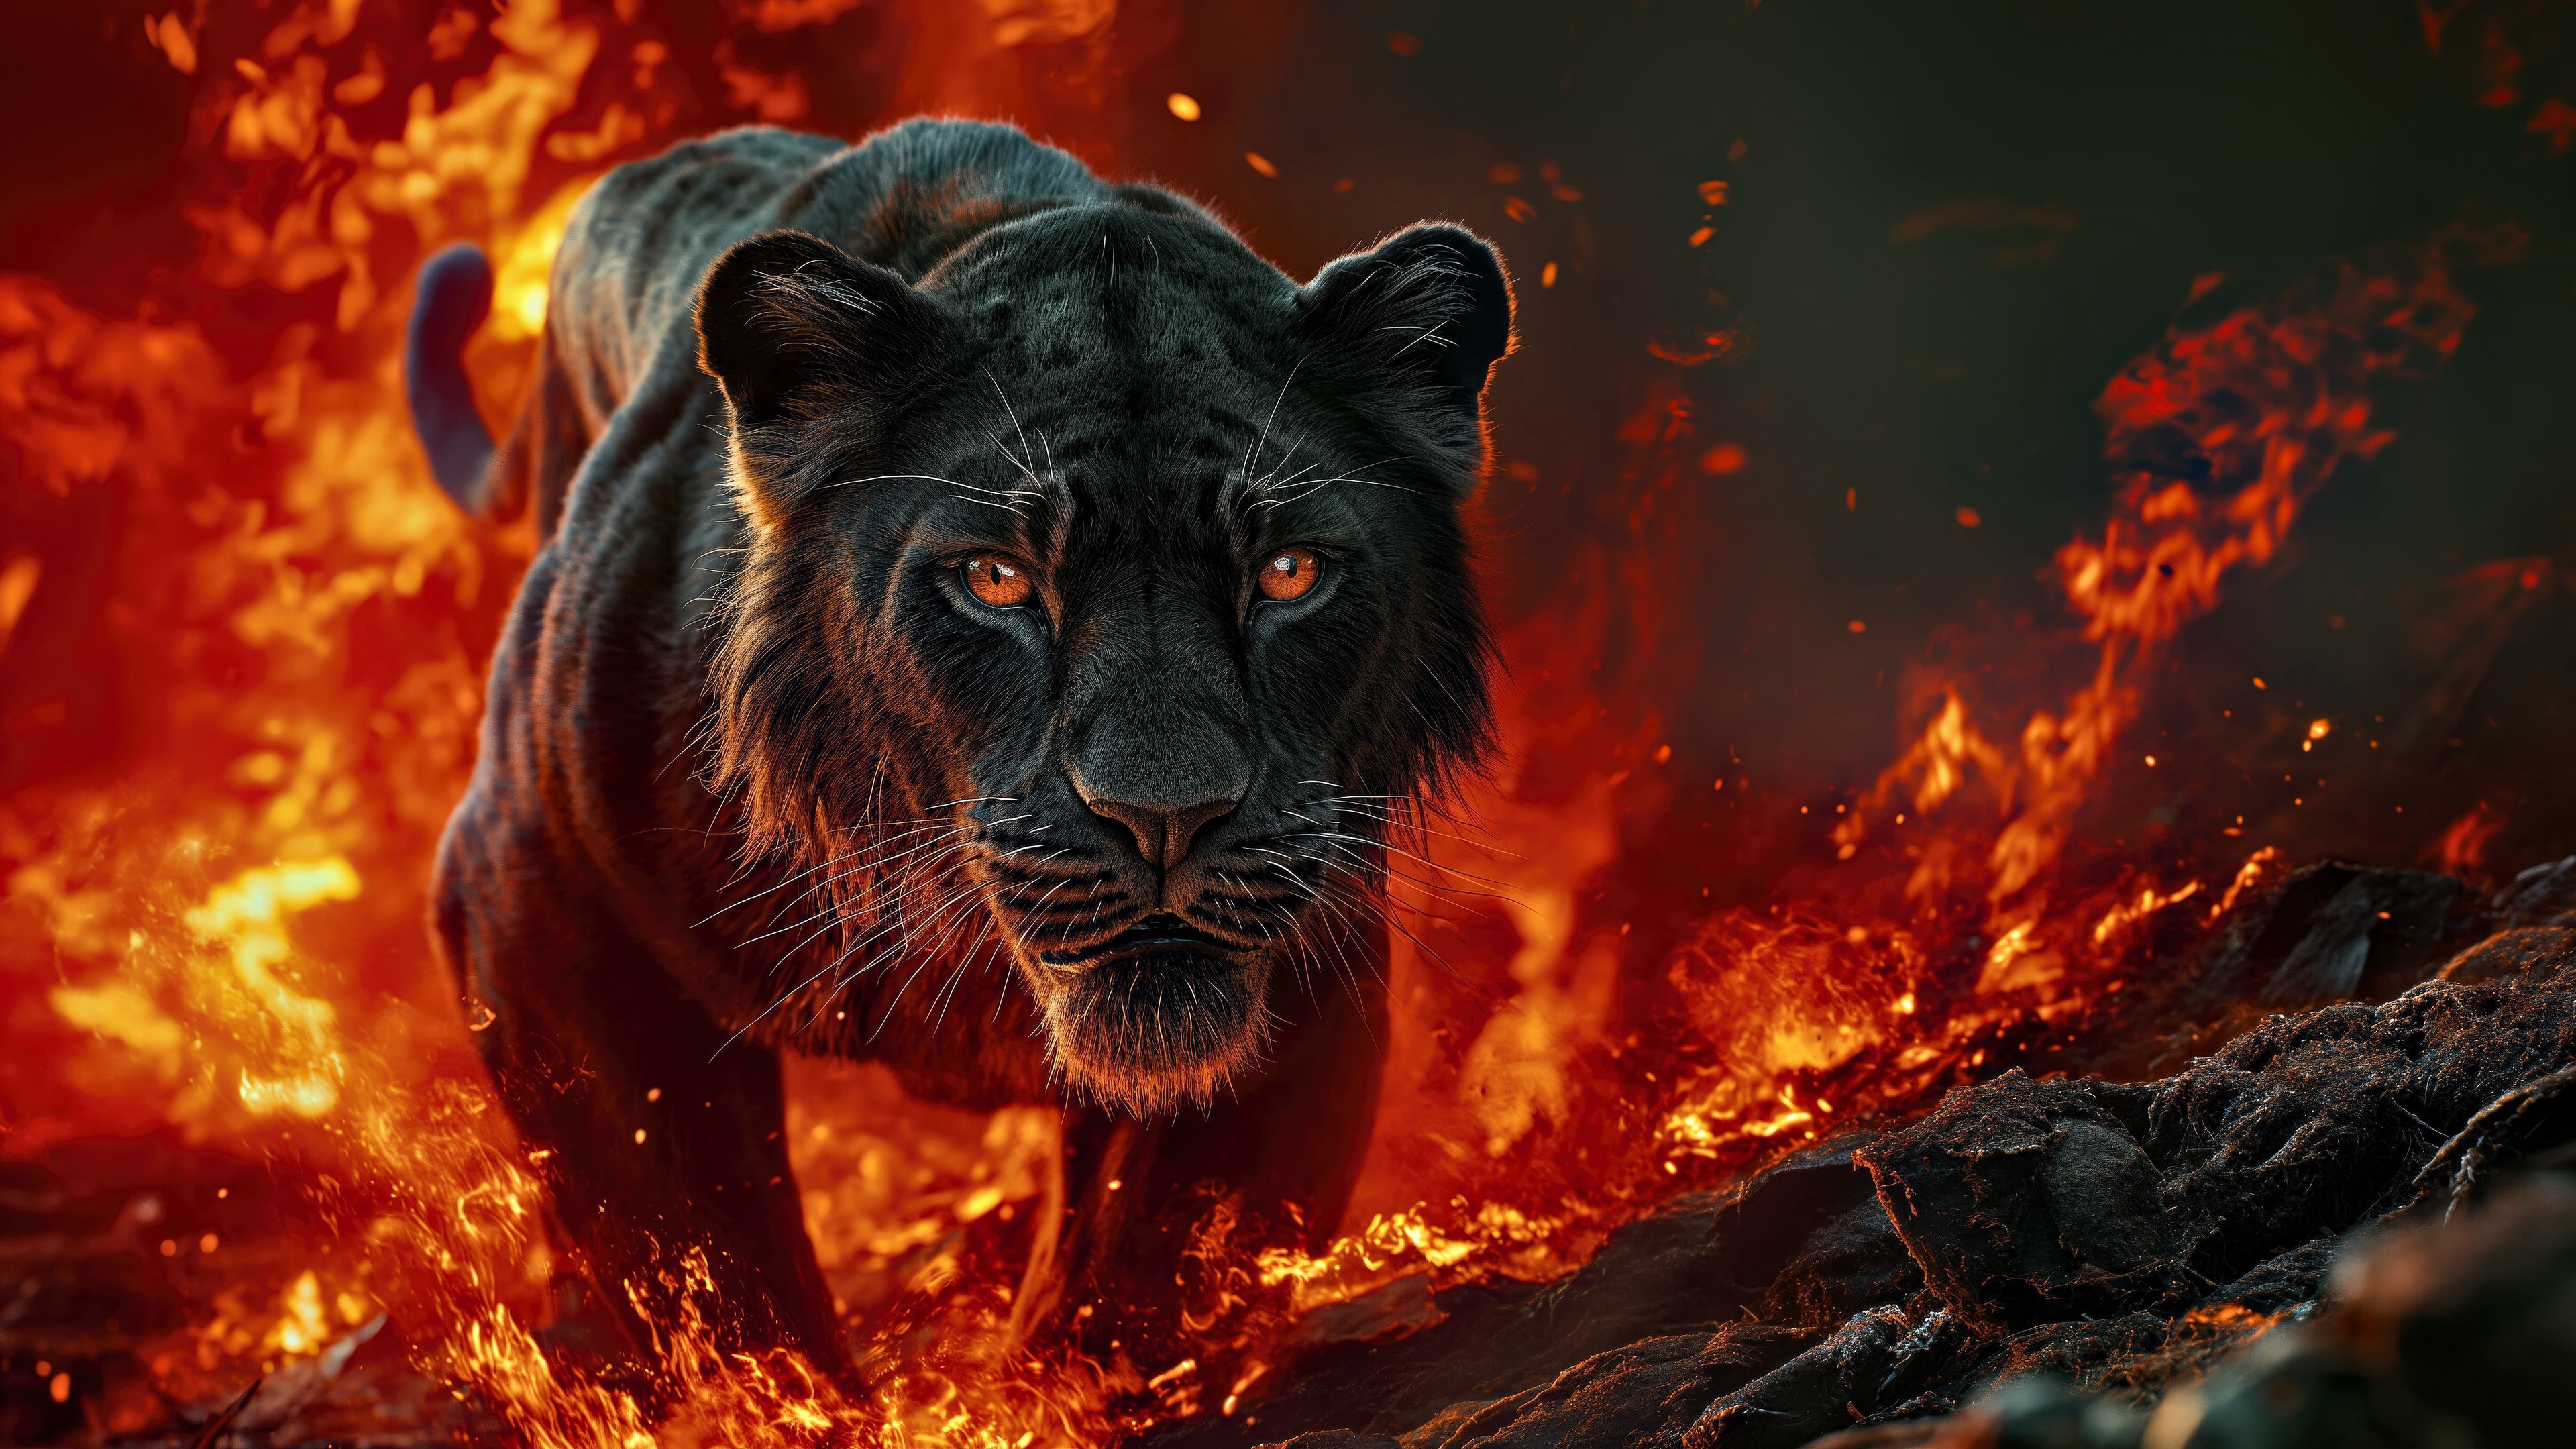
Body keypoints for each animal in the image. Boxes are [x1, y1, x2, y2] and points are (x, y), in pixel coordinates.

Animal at [405, 119, 1510, 1381]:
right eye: (995, 579)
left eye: (1289, 573)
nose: (1165, 815)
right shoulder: (529, 881)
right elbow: (708, 1265)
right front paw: (785, 1396)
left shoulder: (1313, 975)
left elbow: (1142, 1278)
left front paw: (1052, 1388)